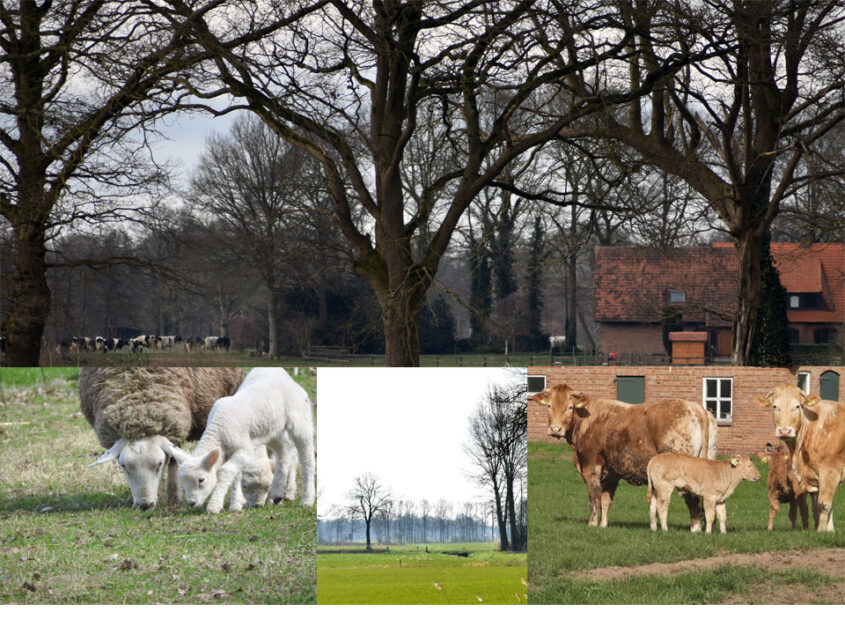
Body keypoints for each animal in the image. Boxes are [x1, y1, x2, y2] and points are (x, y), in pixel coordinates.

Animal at [163, 368, 314, 512]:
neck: (218, 431)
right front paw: (235, 505)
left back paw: (307, 500)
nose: (192, 503)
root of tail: (295, 384)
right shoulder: (233, 452)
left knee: (307, 458)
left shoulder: (244, 449)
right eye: (183, 481)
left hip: (300, 421)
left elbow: (225, 472)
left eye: (201, 480)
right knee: (283, 453)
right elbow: (235, 476)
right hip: (273, 431)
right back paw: (277, 493)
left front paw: (214, 506)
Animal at [532, 382, 716, 524]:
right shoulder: (611, 473)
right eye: (549, 406)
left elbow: (594, 499)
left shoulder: (591, 467)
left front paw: (592, 524)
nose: (555, 429)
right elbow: (606, 501)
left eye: (570, 407)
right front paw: (603, 525)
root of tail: (694, 407)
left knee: (693, 501)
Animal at [756, 382, 844, 532]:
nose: (784, 431)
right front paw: (830, 530)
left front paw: (822, 531)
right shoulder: (815, 476)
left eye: (797, 406)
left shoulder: (830, 471)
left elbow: (823, 504)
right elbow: (821, 505)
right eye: (775, 406)